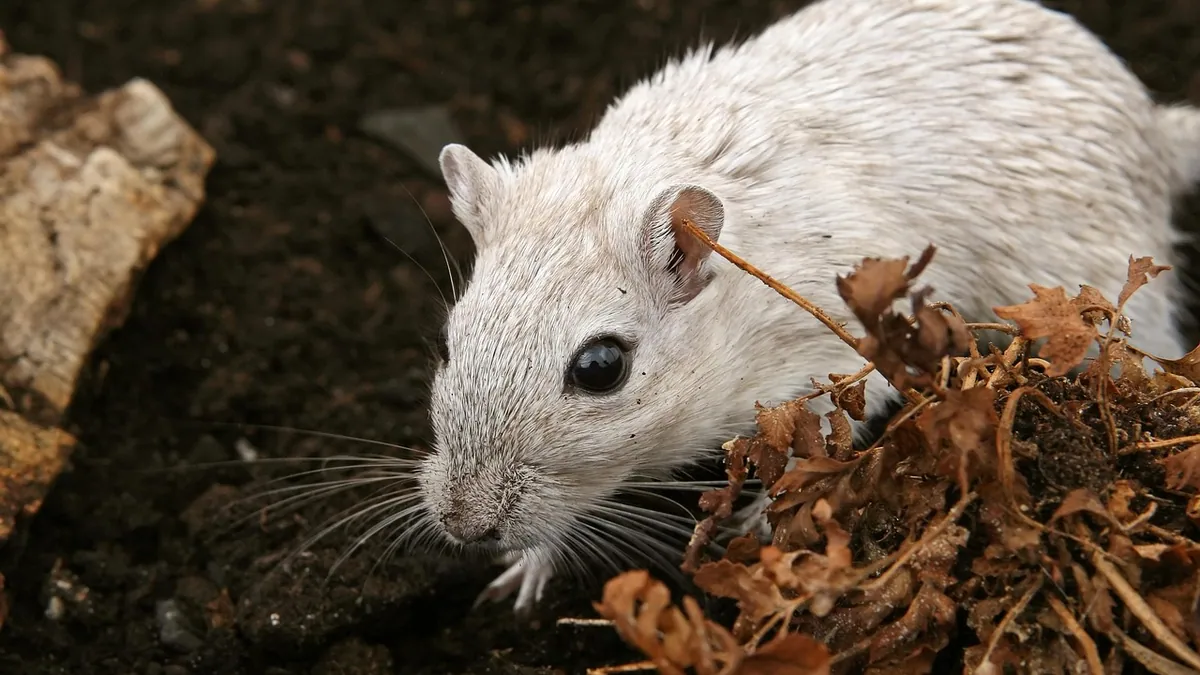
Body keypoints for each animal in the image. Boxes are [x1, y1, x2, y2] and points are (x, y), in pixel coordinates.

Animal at [414, 0, 1200, 615]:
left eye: (601, 367)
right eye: (450, 341)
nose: (463, 526)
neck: (735, 311)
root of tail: (1156, 127)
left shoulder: (836, 352)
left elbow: (814, 448)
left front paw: (756, 528)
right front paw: (523, 572)